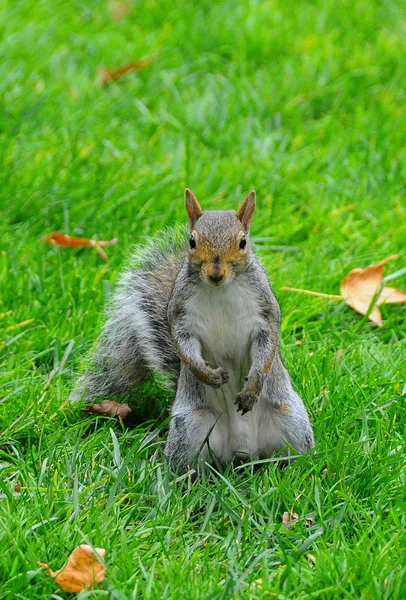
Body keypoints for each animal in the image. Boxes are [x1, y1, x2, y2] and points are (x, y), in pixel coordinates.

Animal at [71, 190, 316, 472]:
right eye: (192, 241)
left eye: (243, 242)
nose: (215, 273)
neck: (221, 289)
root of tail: (243, 452)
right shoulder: (181, 318)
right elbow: (185, 348)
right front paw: (209, 375)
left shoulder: (265, 314)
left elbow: (267, 348)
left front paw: (252, 387)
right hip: (190, 427)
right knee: (190, 464)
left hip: (291, 419)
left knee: (293, 455)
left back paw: (298, 469)